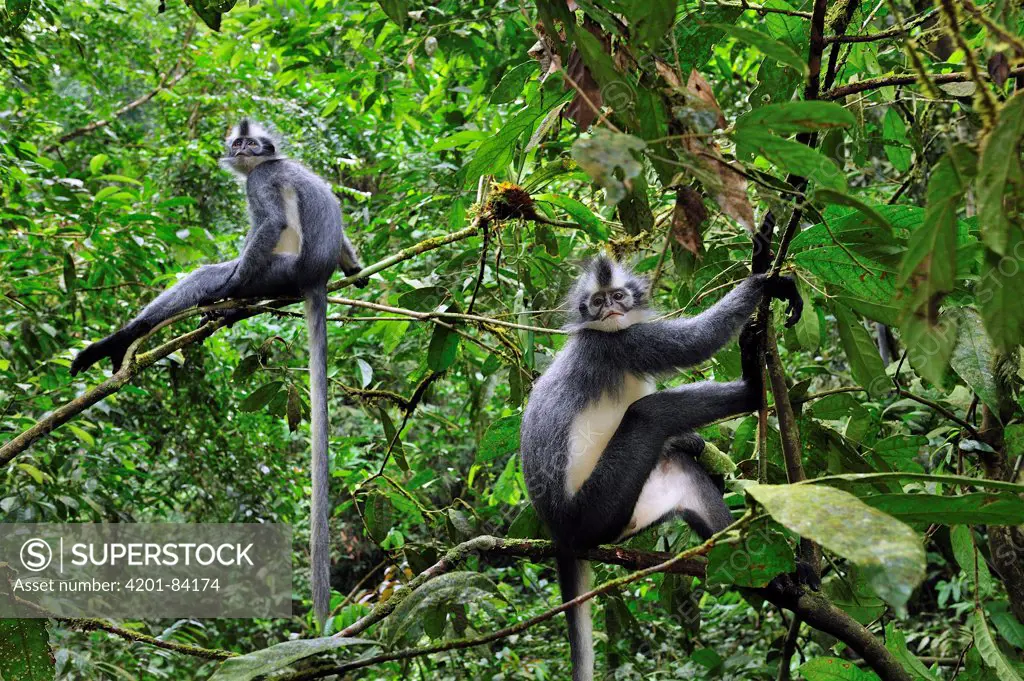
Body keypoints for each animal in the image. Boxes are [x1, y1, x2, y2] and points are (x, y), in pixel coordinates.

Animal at [72, 119, 368, 630]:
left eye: (252, 145)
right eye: (239, 143)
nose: (243, 148)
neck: (272, 162)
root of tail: (314, 277)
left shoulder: (261, 182)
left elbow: (268, 225)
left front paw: (226, 290)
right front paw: (358, 268)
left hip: (277, 272)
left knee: (217, 271)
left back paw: (161, 324)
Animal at [520, 254, 798, 679]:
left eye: (618, 296)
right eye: (597, 302)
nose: (612, 309)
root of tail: (558, 532)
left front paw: (692, 443)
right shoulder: (621, 345)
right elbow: (697, 340)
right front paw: (763, 283)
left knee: (680, 469)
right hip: (594, 510)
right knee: (649, 413)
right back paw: (751, 390)